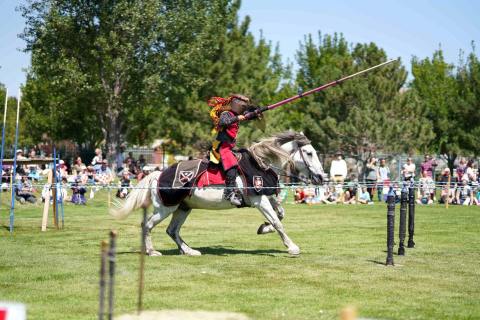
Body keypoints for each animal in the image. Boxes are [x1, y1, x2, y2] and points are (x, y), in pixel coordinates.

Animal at [110, 131, 324, 256]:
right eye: (309, 153)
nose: (321, 177)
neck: (260, 163)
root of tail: (157, 174)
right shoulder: (259, 200)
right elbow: (278, 222)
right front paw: (292, 247)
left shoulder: (267, 197)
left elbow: (280, 215)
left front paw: (264, 228)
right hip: (166, 208)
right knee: (146, 225)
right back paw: (152, 251)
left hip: (183, 208)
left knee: (172, 230)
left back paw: (189, 250)